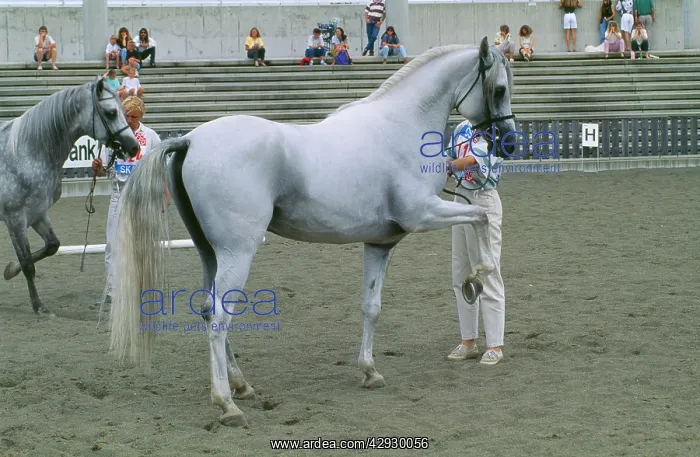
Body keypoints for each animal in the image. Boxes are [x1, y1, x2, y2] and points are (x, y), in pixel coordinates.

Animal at [0, 78, 140, 315]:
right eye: (111, 113)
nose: (133, 146)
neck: (22, 154)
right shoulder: (15, 219)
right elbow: (27, 263)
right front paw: (39, 307)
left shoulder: (37, 213)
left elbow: (52, 246)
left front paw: (10, 270)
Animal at [109, 37, 516, 426]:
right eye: (498, 89)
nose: (509, 142)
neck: (400, 126)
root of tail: (191, 139)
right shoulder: (424, 214)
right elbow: (480, 216)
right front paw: (478, 275)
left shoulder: (380, 243)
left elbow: (371, 307)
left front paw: (369, 371)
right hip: (236, 254)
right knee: (220, 318)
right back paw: (227, 404)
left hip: (209, 253)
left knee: (209, 311)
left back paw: (241, 385)